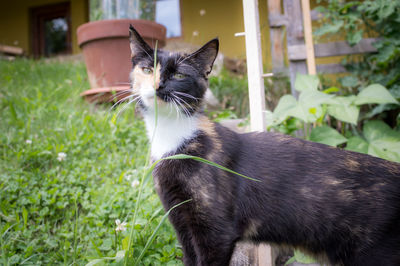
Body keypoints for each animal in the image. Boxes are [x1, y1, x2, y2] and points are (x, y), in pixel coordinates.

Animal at [129, 25, 400, 266]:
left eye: (179, 75)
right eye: (146, 69)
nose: (157, 85)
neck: (172, 139)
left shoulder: (215, 234)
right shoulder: (181, 223)